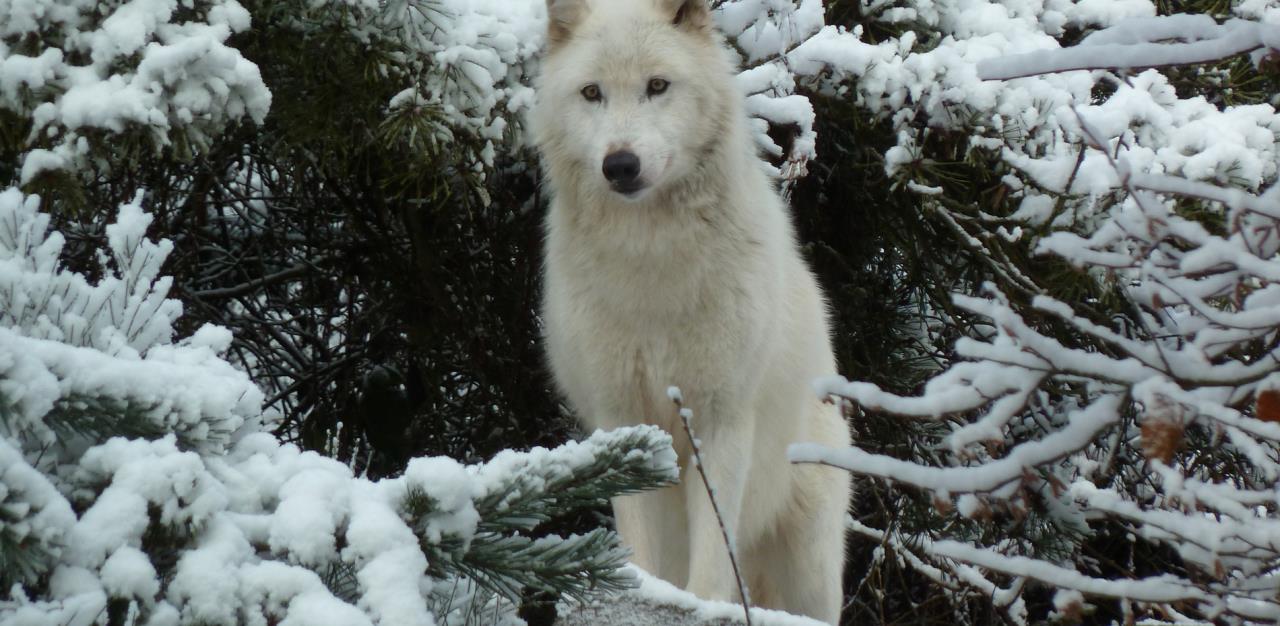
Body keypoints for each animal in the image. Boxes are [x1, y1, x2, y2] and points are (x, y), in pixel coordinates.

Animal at [529, 0, 849, 619]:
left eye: (657, 86)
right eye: (591, 93)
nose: (619, 165)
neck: (652, 263)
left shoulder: (720, 419)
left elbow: (714, 563)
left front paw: (703, 605)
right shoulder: (624, 420)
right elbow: (639, 544)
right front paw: (643, 595)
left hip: (811, 569)